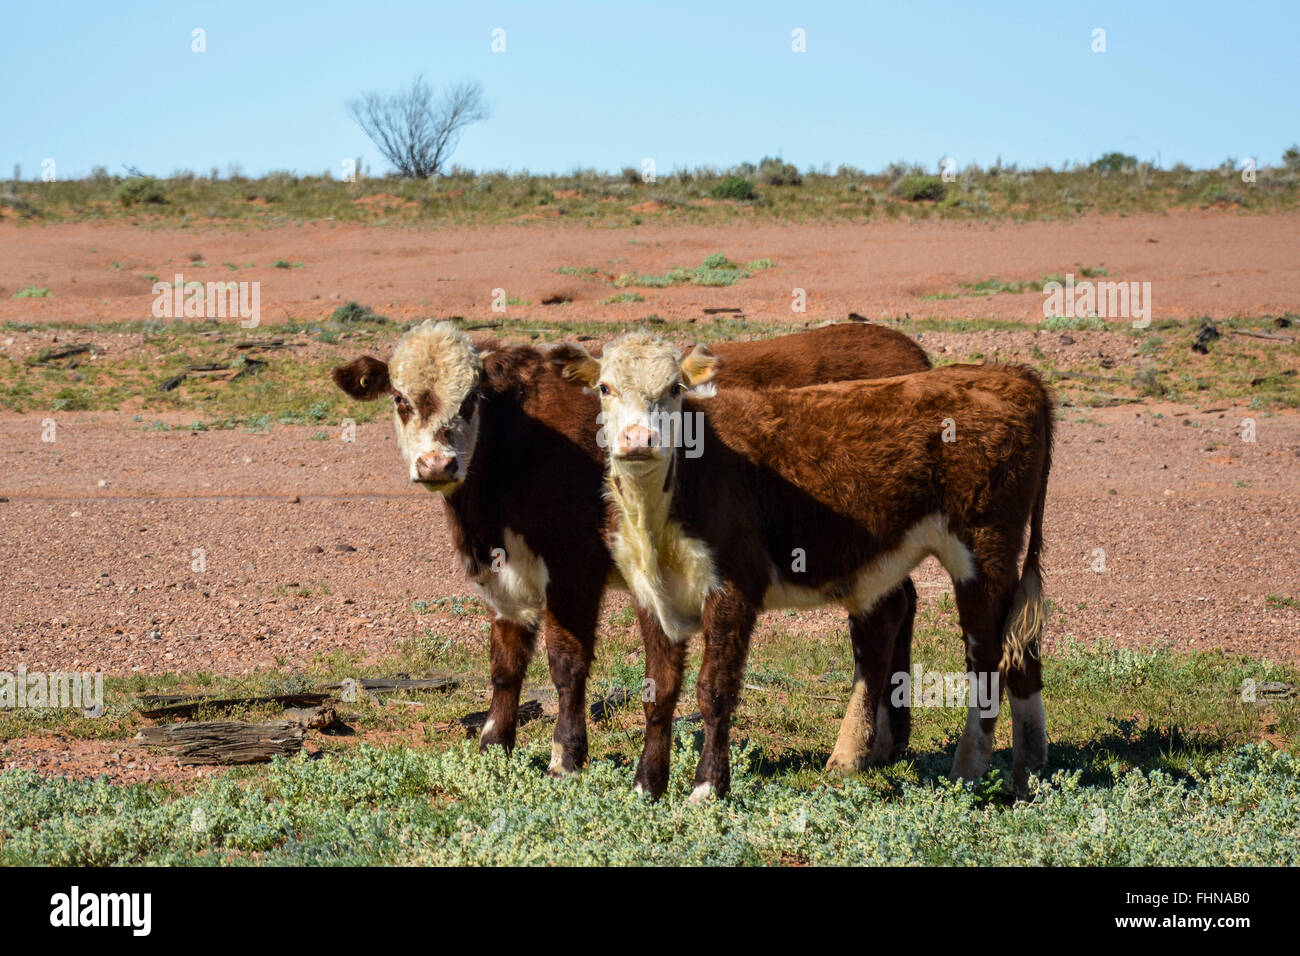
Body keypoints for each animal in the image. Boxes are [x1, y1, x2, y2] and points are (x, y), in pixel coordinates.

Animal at [331, 320, 932, 777]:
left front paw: (565, 758)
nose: (437, 464)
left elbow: (566, 663)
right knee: (901, 607)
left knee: (877, 625)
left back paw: (851, 751)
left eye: (472, 398)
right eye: (399, 399)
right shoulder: (505, 576)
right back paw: (887, 740)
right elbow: (505, 663)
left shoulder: (573, 567)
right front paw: (493, 745)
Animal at [560, 331, 1053, 800]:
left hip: (984, 549)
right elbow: (658, 692)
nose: (638, 440)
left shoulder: (735, 588)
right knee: (1009, 648)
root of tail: (1013, 375)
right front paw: (646, 787)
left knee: (987, 655)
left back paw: (968, 772)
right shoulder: (651, 593)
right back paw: (1027, 772)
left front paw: (707, 788)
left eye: (675, 388)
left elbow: (715, 690)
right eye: (605, 387)